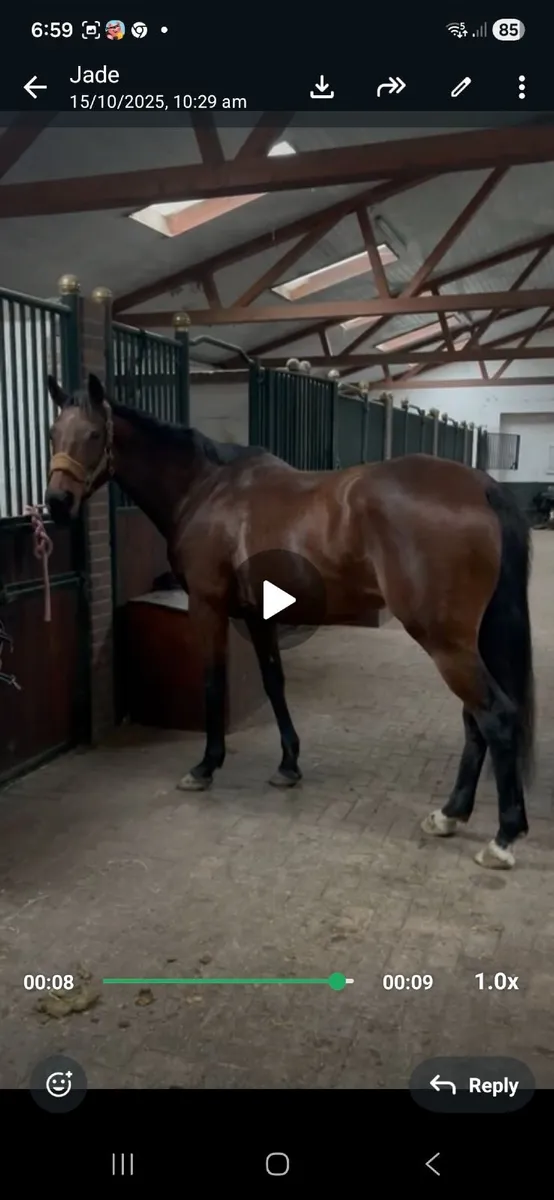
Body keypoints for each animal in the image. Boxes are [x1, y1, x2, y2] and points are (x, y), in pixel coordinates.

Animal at [44, 372, 535, 872]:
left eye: (94, 435)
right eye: (53, 434)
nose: (57, 502)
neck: (206, 489)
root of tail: (480, 487)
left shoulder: (207, 606)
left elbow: (213, 683)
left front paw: (205, 766)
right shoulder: (258, 615)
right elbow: (273, 682)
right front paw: (288, 765)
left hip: (445, 642)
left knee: (494, 716)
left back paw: (503, 837)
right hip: (471, 641)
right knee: (475, 721)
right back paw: (450, 814)